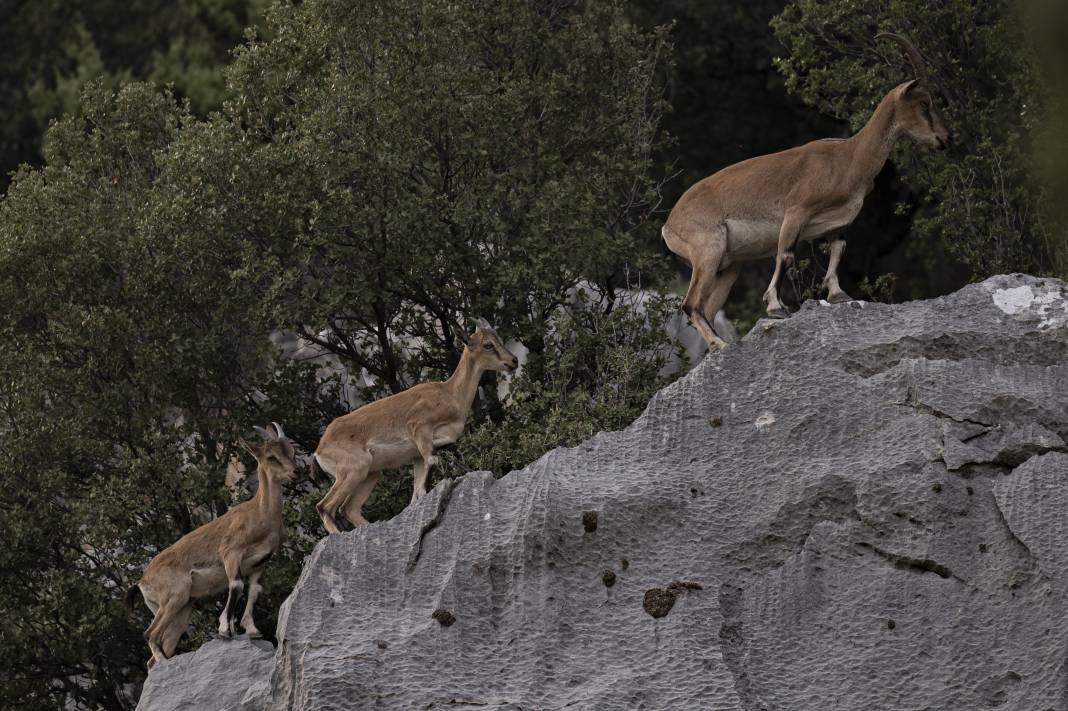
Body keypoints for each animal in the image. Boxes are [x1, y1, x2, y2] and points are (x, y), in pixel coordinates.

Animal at [126, 422, 296, 666]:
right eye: (271, 456)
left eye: (291, 451)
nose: (295, 472)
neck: (261, 514)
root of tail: (142, 581)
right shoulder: (231, 553)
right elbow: (236, 585)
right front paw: (225, 630)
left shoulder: (260, 563)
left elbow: (254, 590)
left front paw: (252, 630)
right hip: (174, 597)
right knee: (149, 634)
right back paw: (163, 660)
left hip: (181, 611)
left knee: (155, 650)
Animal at [311, 316, 519, 531]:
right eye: (488, 345)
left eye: (498, 339)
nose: (514, 361)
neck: (450, 394)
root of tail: (319, 451)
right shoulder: (420, 429)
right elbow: (431, 464)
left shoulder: (417, 456)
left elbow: (417, 493)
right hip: (354, 470)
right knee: (325, 507)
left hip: (370, 474)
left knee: (349, 509)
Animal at [657, 33, 952, 348]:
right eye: (924, 102)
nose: (945, 138)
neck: (849, 157)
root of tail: (670, 224)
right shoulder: (796, 212)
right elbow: (785, 254)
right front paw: (776, 308)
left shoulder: (837, 222)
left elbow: (838, 248)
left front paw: (838, 294)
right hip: (707, 250)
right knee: (690, 304)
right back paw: (721, 344)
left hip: (728, 266)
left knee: (707, 309)